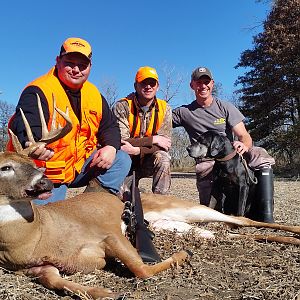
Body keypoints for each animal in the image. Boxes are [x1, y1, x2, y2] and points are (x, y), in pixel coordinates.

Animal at [1, 94, 298, 300]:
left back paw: (293, 231)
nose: (45, 182)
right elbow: (54, 281)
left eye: (29, 164)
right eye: (6, 167)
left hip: (191, 208)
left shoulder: (110, 234)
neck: (36, 236)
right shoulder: (37, 269)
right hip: (182, 226)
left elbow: (141, 270)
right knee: (229, 232)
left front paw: (181, 255)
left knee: (242, 220)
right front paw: (104, 293)